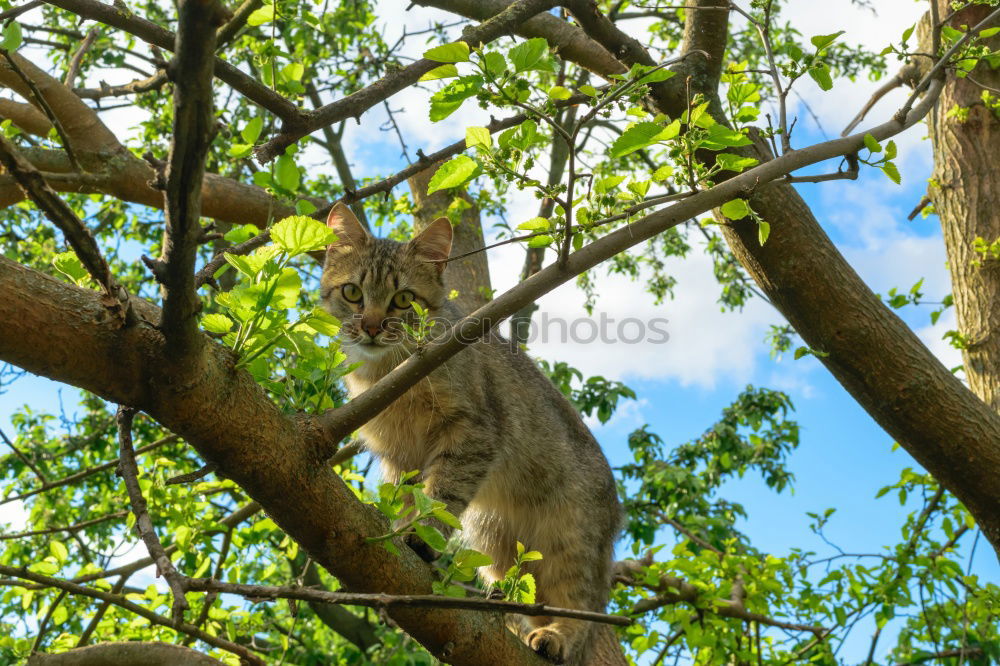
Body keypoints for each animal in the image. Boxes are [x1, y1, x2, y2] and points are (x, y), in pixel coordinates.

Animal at [320, 202, 620, 664]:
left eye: (403, 299)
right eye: (353, 293)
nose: (370, 326)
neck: (387, 373)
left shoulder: (472, 431)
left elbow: (440, 496)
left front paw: (422, 536)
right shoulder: (399, 456)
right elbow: (409, 497)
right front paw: (401, 530)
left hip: (571, 540)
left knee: (579, 606)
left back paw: (556, 636)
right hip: (498, 546)